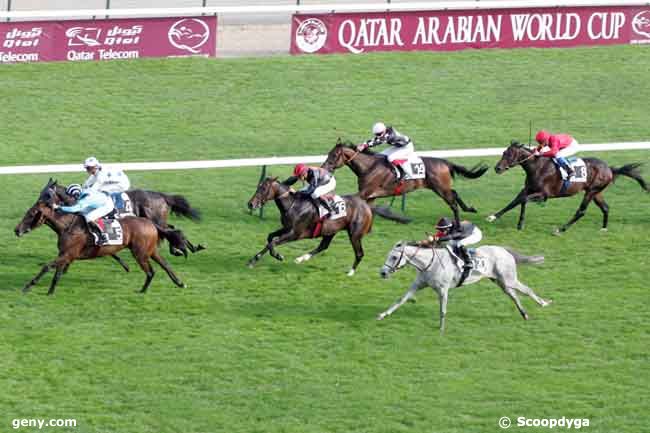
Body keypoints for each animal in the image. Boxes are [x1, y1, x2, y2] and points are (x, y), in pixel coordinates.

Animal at [14, 178, 187, 294]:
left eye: (31, 214)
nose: (17, 230)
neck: (68, 226)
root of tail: (150, 224)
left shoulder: (68, 254)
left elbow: (47, 267)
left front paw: (28, 286)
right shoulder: (65, 254)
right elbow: (57, 272)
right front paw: (50, 291)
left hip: (140, 253)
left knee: (152, 271)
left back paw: (143, 290)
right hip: (150, 251)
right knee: (165, 264)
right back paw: (179, 282)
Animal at [247, 177, 398, 276]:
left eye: (263, 188)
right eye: (258, 186)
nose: (251, 204)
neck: (293, 205)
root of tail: (367, 205)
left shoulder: (295, 234)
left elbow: (273, 242)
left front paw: (274, 257)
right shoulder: (286, 228)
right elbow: (270, 238)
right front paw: (258, 258)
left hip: (354, 234)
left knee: (359, 253)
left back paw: (350, 272)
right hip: (331, 230)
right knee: (323, 246)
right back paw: (301, 258)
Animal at [318, 138, 486, 226]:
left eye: (334, 155)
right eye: (329, 154)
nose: (324, 168)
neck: (369, 167)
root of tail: (445, 162)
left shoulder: (365, 192)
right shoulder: (371, 196)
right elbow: (370, 209)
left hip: (440, 188)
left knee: (453, 203)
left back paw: (458, 225)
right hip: (440, 187)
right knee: (455, 194)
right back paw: (470, 209)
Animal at [378, 240, 548, 330]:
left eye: (394, 257)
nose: (383, 273)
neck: (430, 263)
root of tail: (504, 250)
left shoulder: (443, 289)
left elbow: (443, 310)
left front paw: (441, 328)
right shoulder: (418, 285)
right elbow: (401, 300)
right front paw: (383, 315)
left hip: (508, 279)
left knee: (527, 290)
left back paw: (544, 303)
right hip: (501, 282)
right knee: (513, 296)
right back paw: (524, 314)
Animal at [488, 141, 644, 233]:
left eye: (510, 154)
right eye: (503, 153)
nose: (497, 168)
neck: (537, 167)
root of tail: (609, 169)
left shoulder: (544, 195)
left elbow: (523, 200)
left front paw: (520, 224)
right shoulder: (527, 189)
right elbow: (514, 201)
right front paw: (493, 216)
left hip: (591, 191)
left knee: (581, 211)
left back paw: (561, 229)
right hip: (596, 192)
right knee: (605, 207)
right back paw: (603, 228)